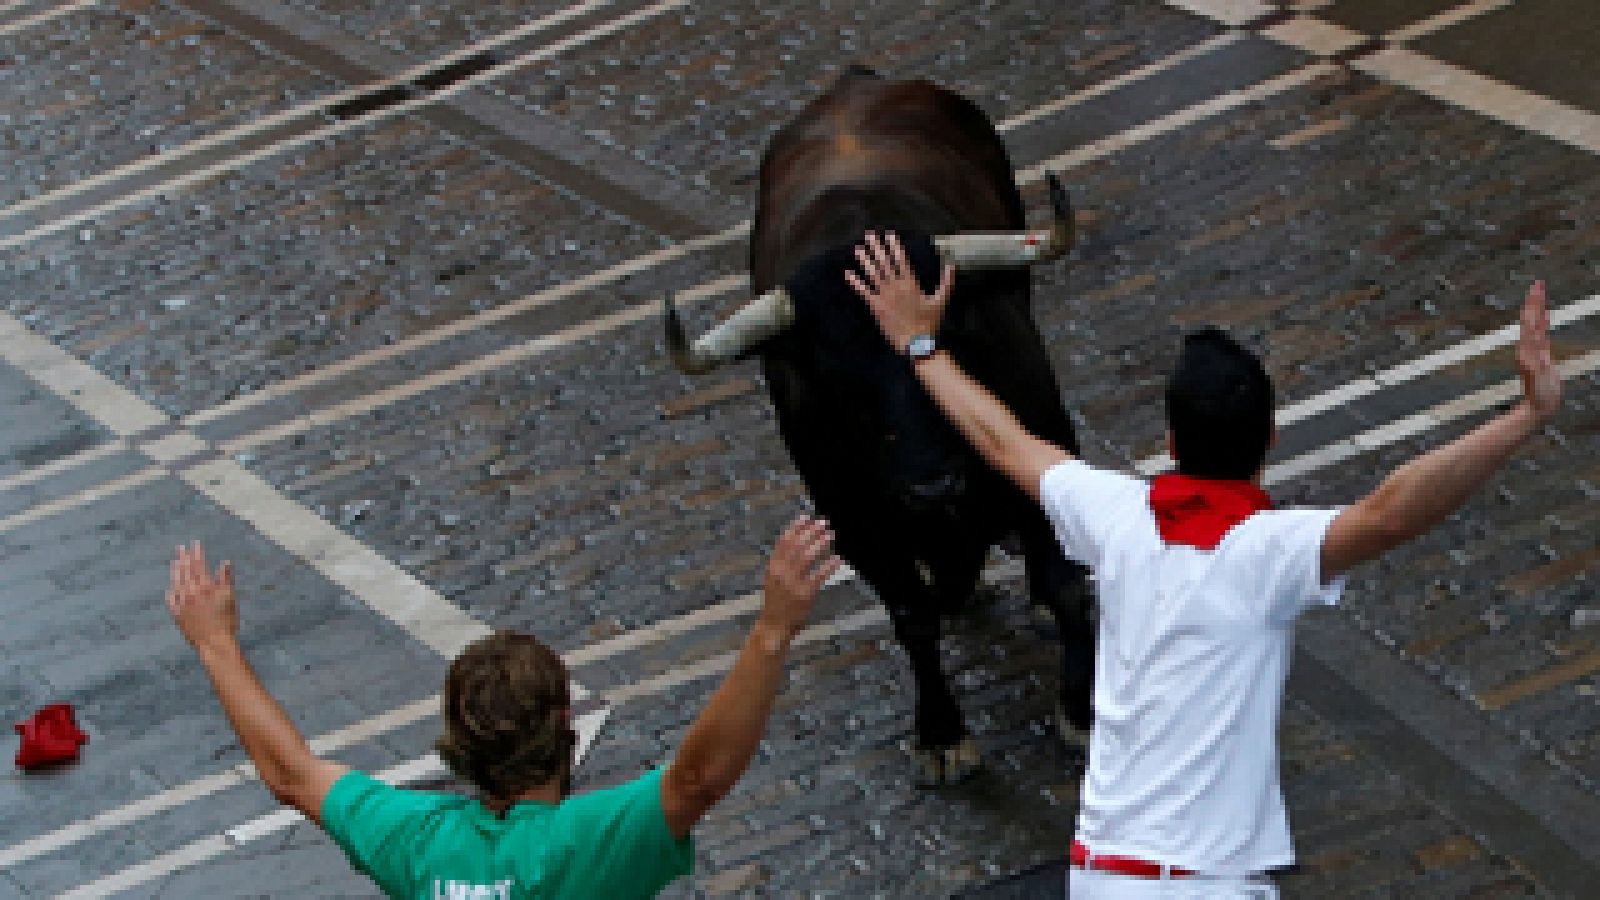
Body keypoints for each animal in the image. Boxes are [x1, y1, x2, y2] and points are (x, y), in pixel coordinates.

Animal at [659, 70, 1088, 781]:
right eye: (838, 381)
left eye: (948, 339)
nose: (933, 486)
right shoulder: (855, 521)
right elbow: (912, 615)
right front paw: (941, 733)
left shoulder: (1042, 447)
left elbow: (1063, 582)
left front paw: (1080, 714)